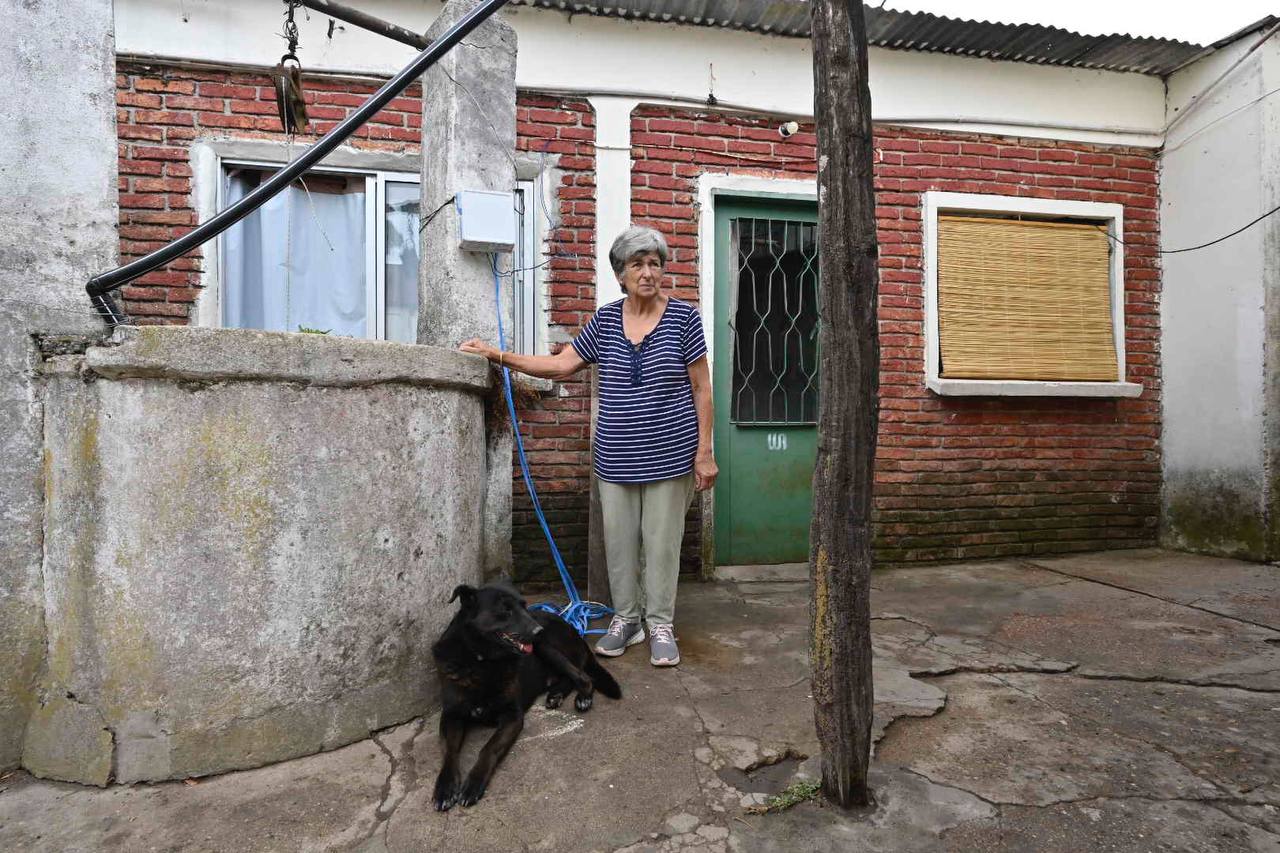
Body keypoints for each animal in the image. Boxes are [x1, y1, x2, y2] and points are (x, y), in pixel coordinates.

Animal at [432, 578, 622, 809]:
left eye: (523, 606)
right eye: (505, 610)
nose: (538, 630)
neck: (480, 659)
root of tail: (572, 628)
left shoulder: (513, 716)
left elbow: (488, 748)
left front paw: (473, 783)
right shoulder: (451, 715)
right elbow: (449, 751)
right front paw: (445, 787)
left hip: (546, 648)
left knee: (583, 677)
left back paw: (583, 697)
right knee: (568, 677)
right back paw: (555, 695)